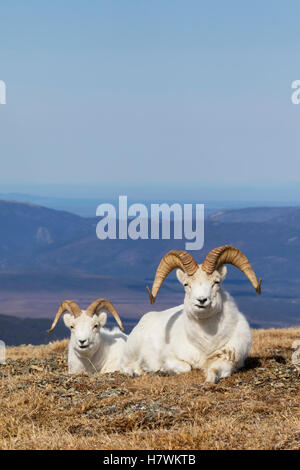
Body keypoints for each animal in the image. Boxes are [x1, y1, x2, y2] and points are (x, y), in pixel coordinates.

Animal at [123, 246, 262, 382]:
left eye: (216, 282)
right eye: (186, 284)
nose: (201, 300)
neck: (207, 342)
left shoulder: (227, 360)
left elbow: (214, 370)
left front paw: (208, 381)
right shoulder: (170, 357)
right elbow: (186, 367)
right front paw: (162, 370)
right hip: (131, 352)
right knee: (125, 365)